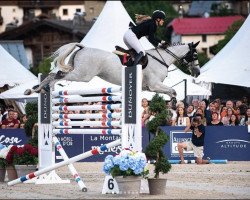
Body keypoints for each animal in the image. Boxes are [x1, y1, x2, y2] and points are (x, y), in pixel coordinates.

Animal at [24, 41, 201, 98]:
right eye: (195, 54)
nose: (198, 72)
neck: (162, 59)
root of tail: (83, 47)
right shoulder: (154, 85)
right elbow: (173, 91)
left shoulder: (150, 88)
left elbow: (171, 92)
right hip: (83, 75)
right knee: (59, 75)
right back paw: (46, 87)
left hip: (78, 71)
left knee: (54, 74)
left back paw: (35, 89)